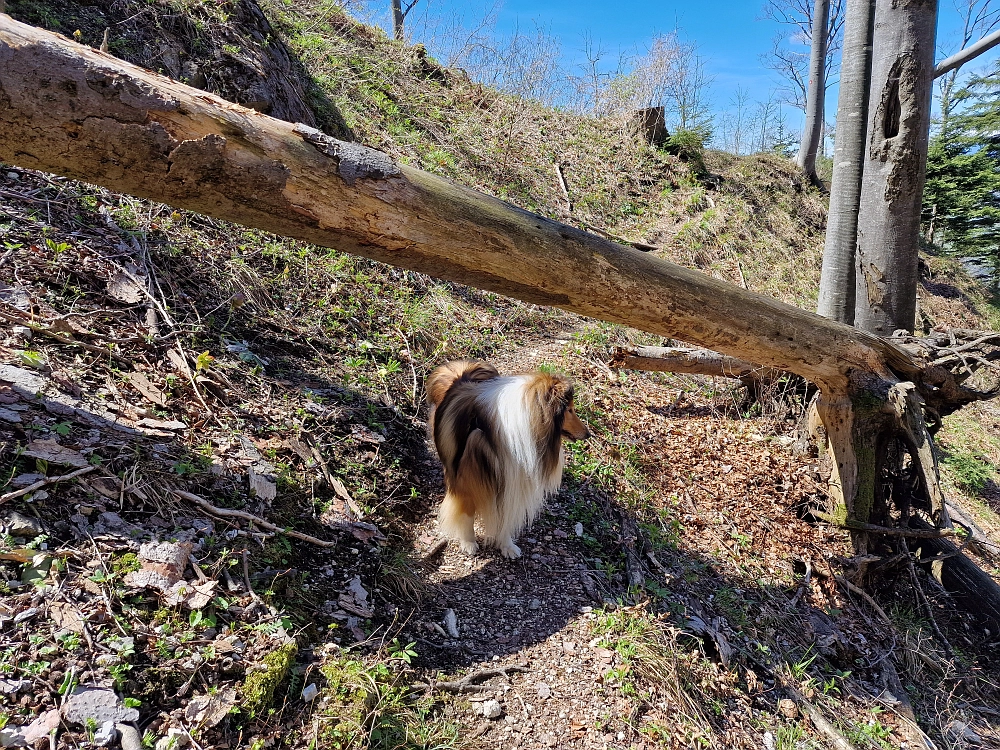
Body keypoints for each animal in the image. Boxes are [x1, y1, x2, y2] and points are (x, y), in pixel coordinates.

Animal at [426, 362, 588, 560]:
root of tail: (461, 373)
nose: (588, 434)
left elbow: (506, 515)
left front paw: (507, 546)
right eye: (569, 410)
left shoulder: (513, 480)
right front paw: (468, 542)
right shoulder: (465, 484)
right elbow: (466, 514)